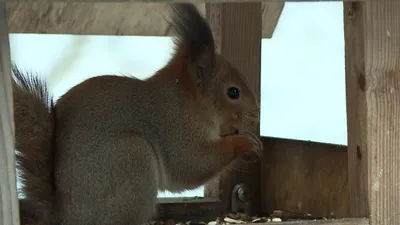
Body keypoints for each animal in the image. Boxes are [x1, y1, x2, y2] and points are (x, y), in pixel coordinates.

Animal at [12, 3, 262, 225]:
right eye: (233, 92)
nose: (256, 114)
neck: (188, 102)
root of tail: (64, 216)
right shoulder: (174, 128)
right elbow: (190, 163)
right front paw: (245, 143)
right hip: (132, 159)